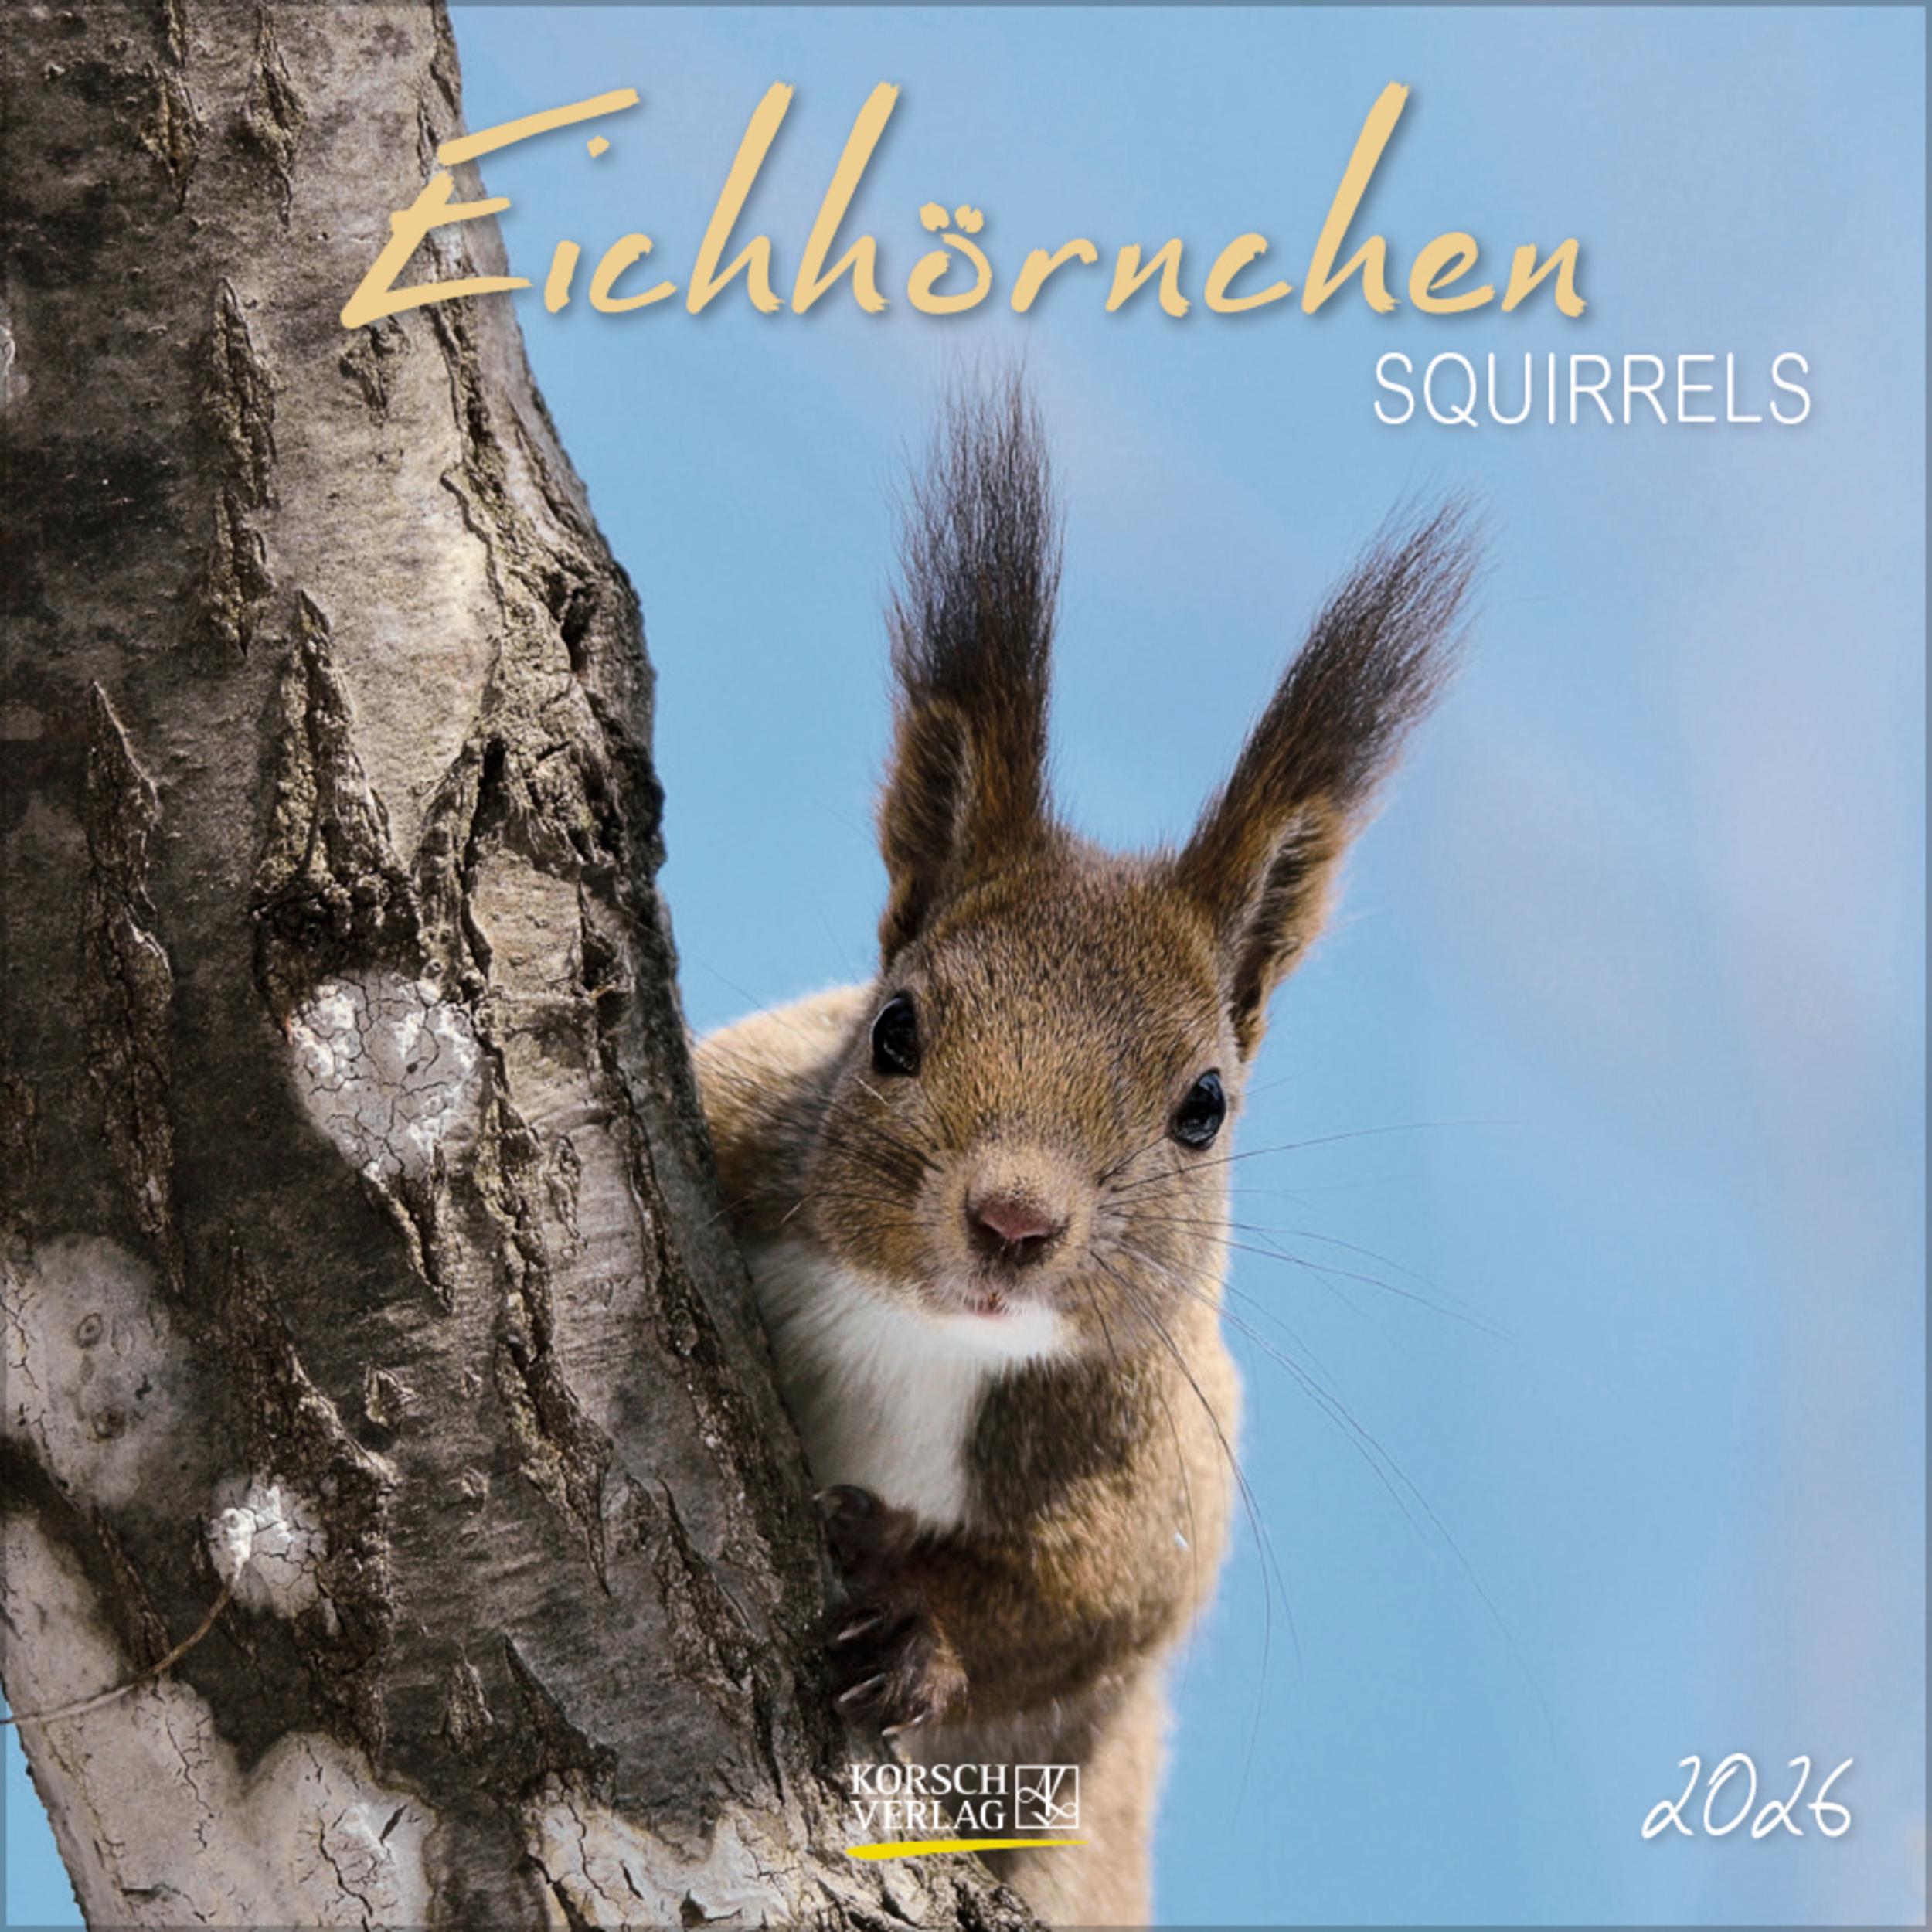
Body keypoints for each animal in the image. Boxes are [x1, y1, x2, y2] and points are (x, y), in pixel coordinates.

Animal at [694, 379, 1474, 1926]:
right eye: (894, 1028)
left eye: (1205, 1106)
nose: (1011, 1222)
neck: (931, 1338)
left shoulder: (1166, 1456)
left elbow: (1090, 1608)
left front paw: (919, 1620)